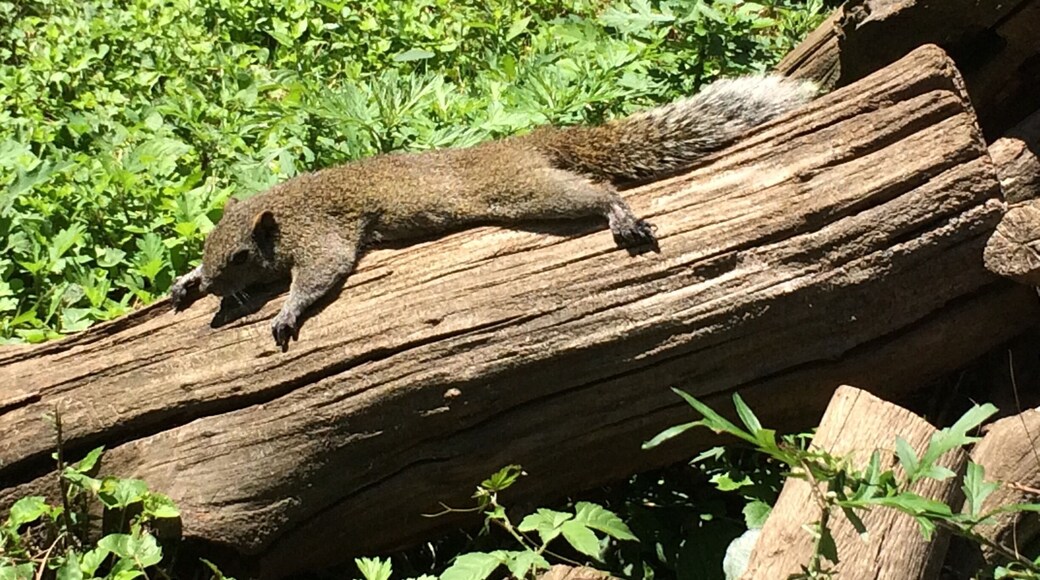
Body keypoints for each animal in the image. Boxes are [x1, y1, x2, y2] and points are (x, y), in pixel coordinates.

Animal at [170, 74, 817, 350]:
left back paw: (620, 214)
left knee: (595, 189)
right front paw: (185, 284)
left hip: (524, 190)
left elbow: (322, 273)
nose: (214, 285)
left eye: (239, 256)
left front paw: (286, 313)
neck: (276, 211)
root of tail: (531, 142)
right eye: (207, 247)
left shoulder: (321, 233)